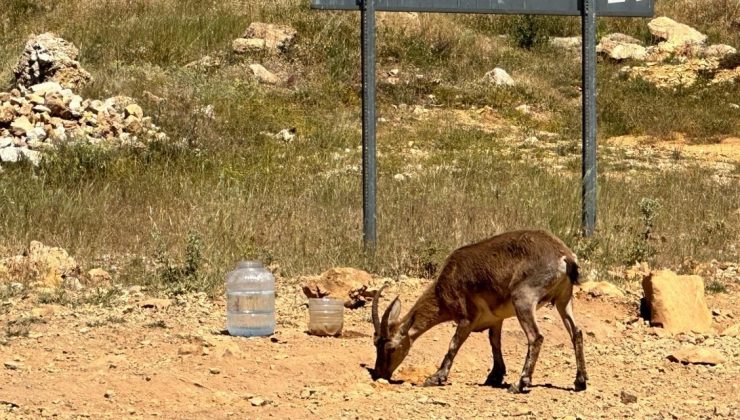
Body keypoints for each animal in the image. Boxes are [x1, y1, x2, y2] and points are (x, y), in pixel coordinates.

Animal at [372, 228, 588, 392]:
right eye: (375, 344)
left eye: (391, 348)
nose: (379, 373)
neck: (445, 286)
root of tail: (564, 257)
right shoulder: (496, 319)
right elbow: (494, 343)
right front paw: (495, 376)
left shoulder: (467, 317)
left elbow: (453, 344)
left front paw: (435, 378)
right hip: (563, 299)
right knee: (576, 332)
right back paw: (580, 381)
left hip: (524, 299)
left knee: (536, 337)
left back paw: (520, 384)